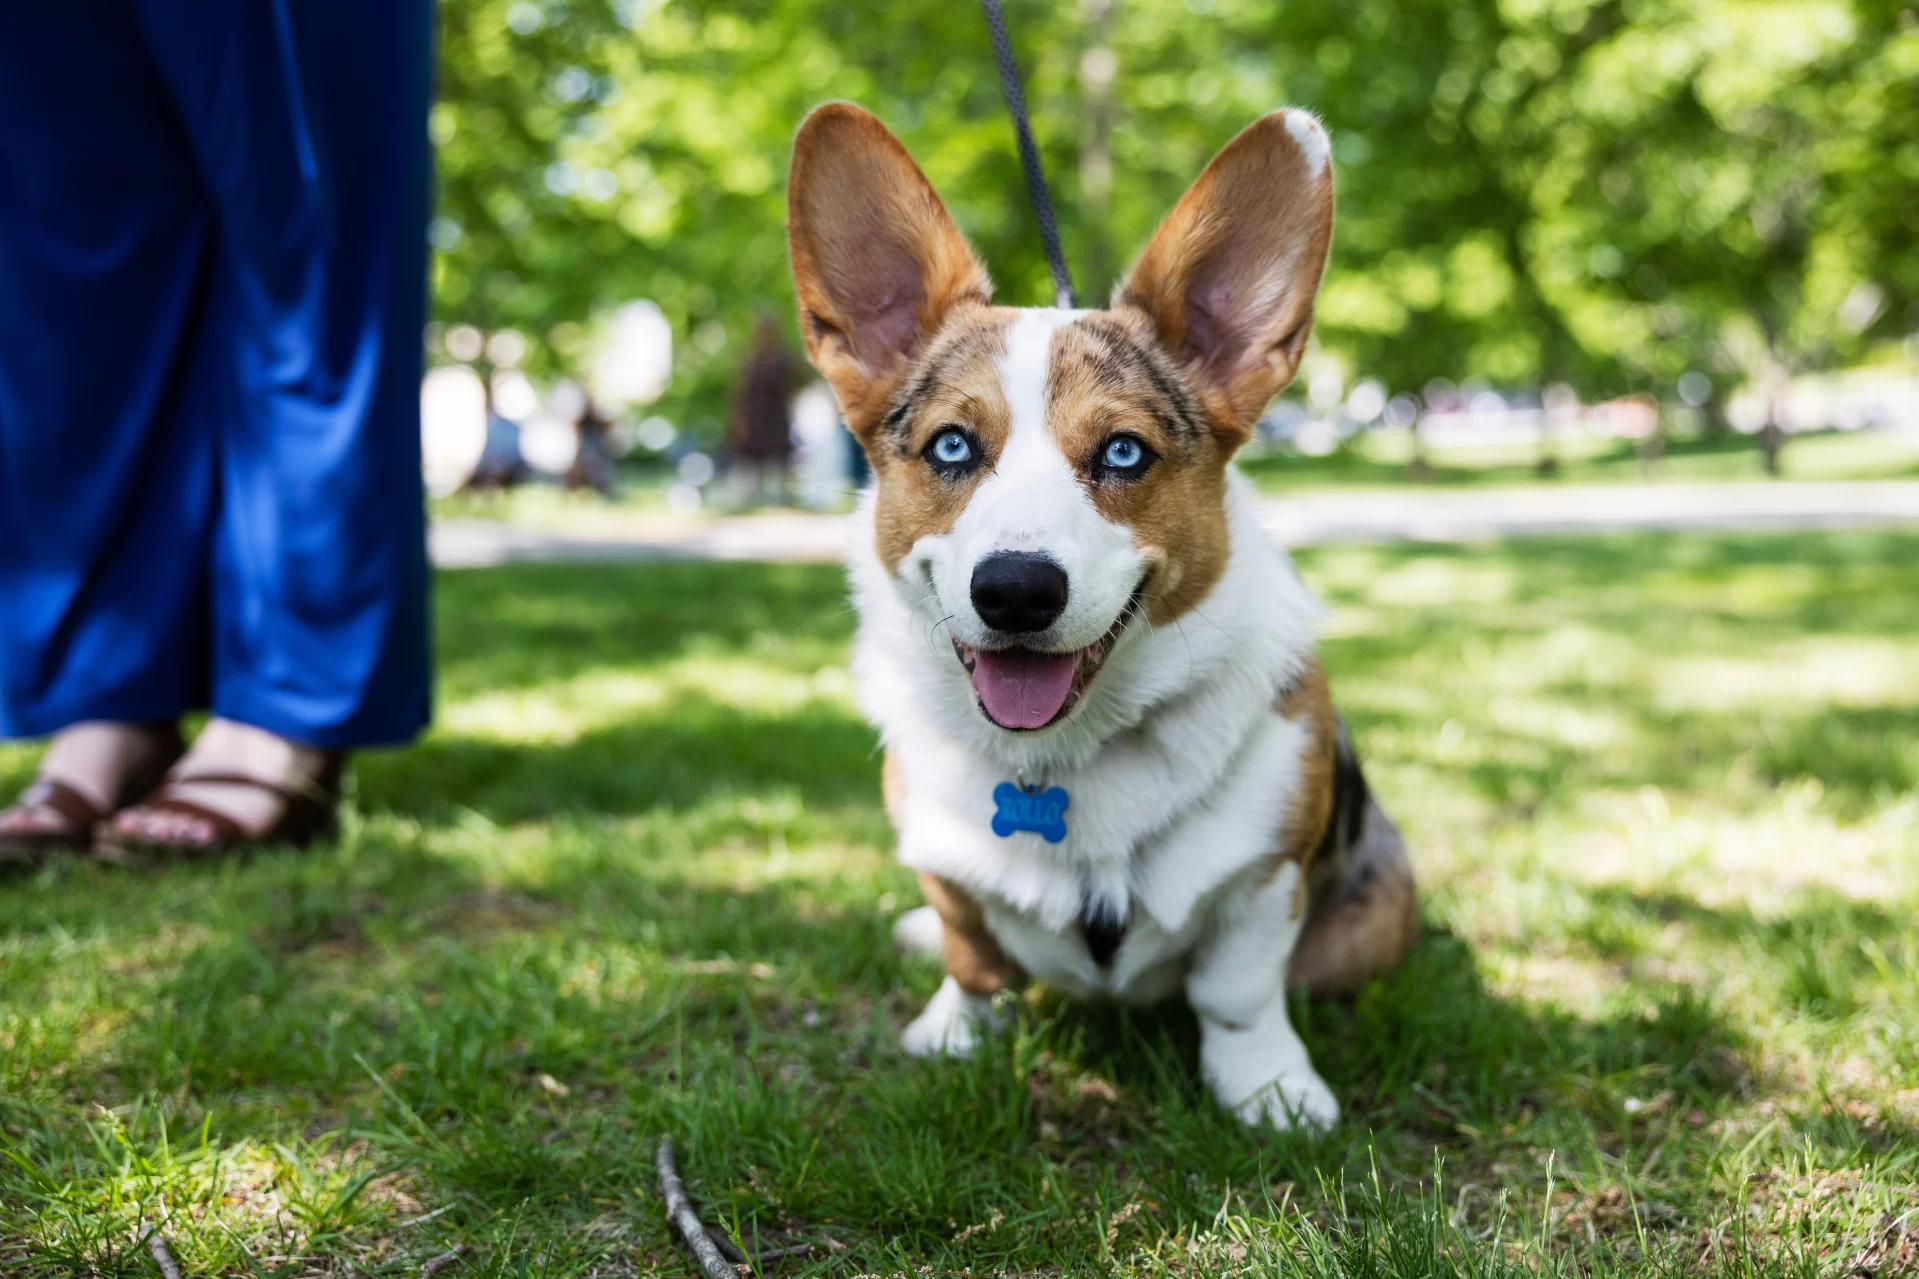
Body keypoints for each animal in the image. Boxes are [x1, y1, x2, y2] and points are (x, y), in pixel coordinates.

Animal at [786, 107, 1420, 1129]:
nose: (1013, 590)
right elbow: (973, 956)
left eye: (1124, 452)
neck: (1064, 759)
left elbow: (1238, 994)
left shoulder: (1264, 879)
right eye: (951, 446)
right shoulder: (945, 865)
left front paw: (1270, 1089)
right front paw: (953, 1030)